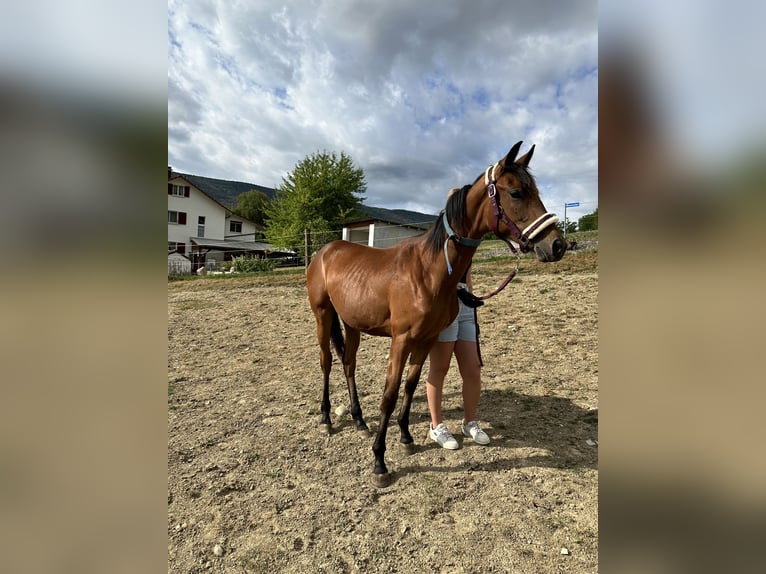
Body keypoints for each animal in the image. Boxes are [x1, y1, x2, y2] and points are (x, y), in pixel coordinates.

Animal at [306, 142, 566, 488]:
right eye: (515, 193)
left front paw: (406, 437)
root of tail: (324, 251)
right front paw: (379, 462)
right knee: (326, 362)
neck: (429, 269)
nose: (557, 245)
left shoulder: (426, 339)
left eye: (535, 190)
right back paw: (325, 417)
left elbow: (411, 385)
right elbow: (389, 395)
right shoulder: (401, 341)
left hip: (353, 324)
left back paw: (359, 420)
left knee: (348, 364)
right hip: (323, 316)